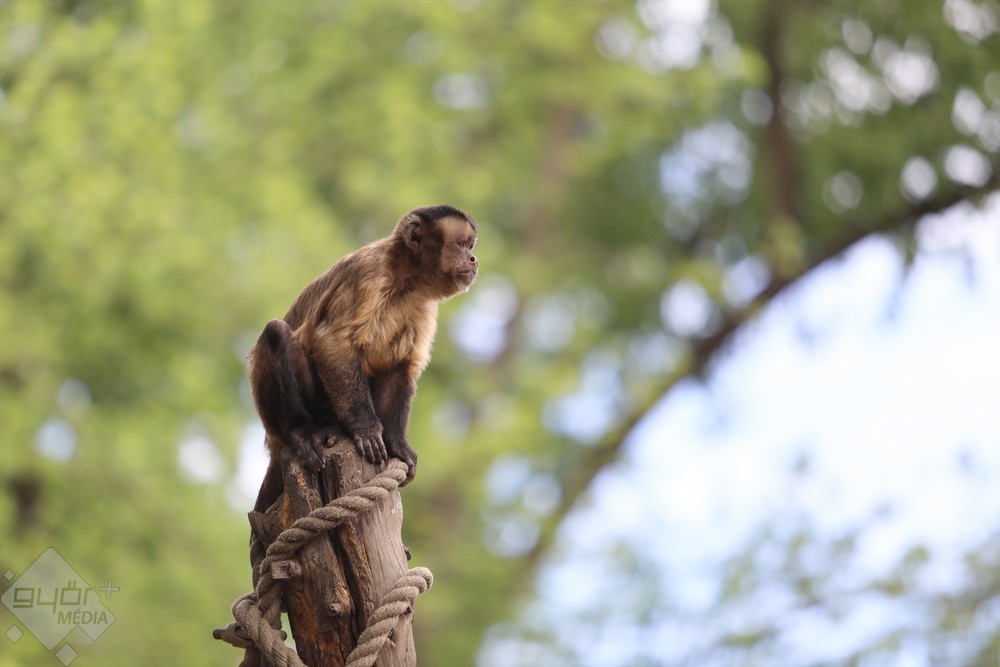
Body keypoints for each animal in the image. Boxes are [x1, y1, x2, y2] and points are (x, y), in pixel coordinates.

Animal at [248, 205, 478, 511]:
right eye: (462, 245)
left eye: (470, 246)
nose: (473, 259)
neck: (405, 281)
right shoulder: (369, 274)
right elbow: (332, 341)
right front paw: (365, 428)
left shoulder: (424, 306)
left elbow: (400, 367)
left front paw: (396, 443)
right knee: (276, 332)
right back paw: (302, 432)